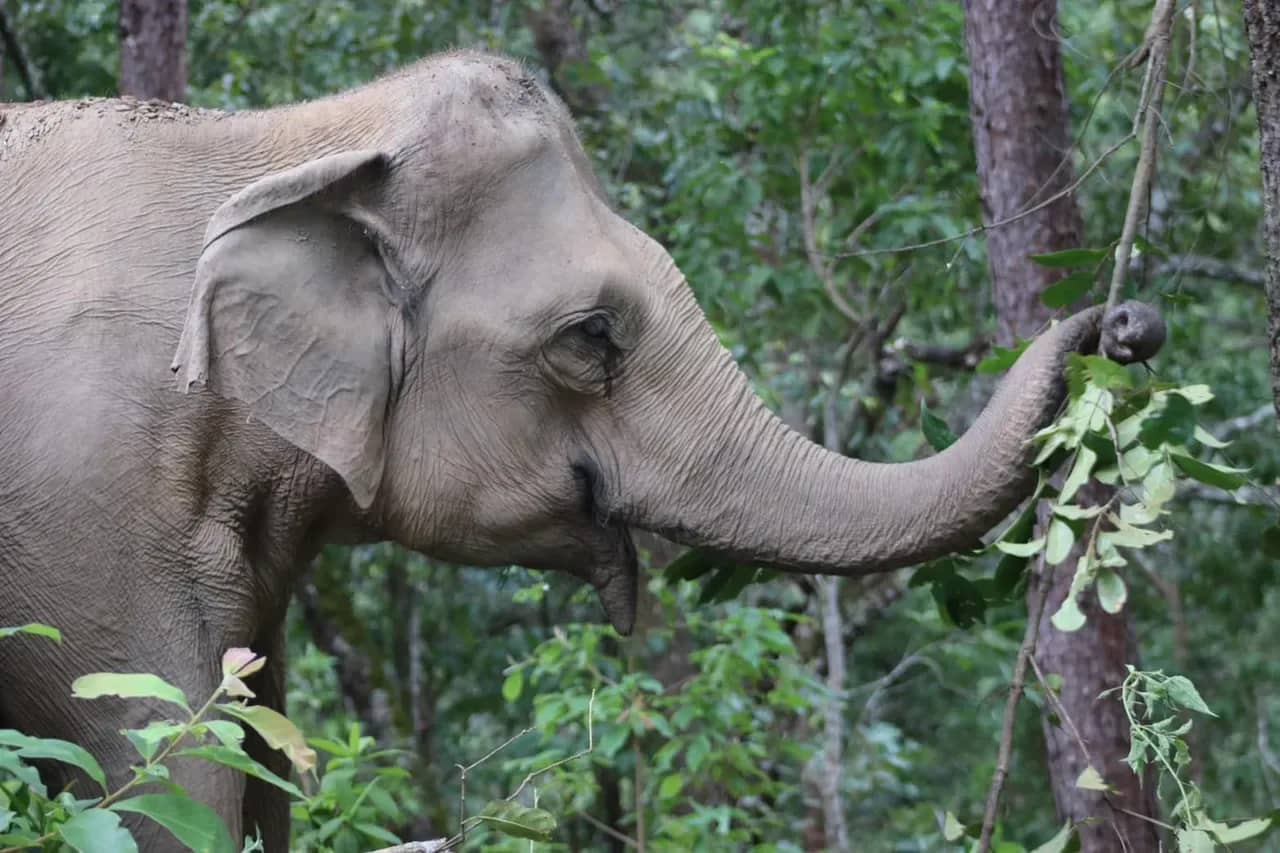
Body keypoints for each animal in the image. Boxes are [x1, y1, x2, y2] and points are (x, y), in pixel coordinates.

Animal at [0, 50, 1164, 850]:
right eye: (592, 336)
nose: (1124, 321)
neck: (278, 140)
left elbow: (257, 769)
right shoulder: (91, 533)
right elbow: (161, 775)